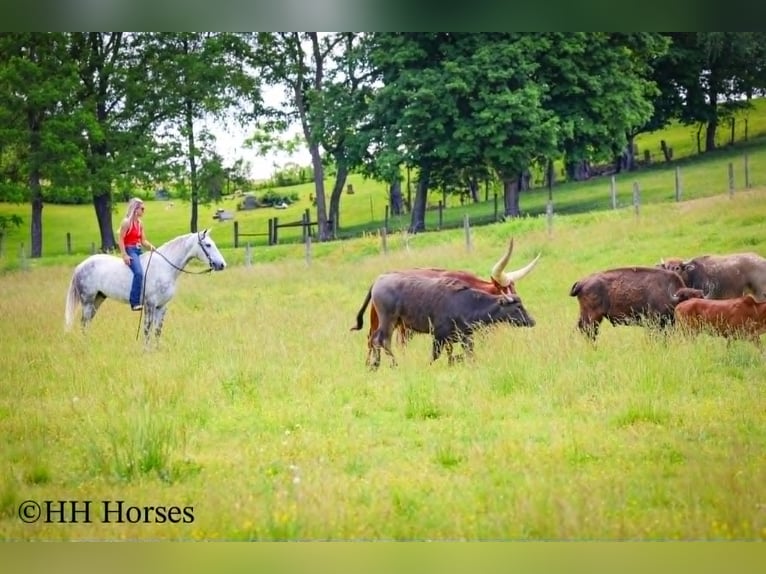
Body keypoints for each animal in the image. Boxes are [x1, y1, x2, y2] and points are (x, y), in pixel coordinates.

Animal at [65, 229, 227, 344]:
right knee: (83, 322)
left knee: (87, 322)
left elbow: (158, 330)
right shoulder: (150, 304)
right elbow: (147, 329)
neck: (164, 268)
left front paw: (156, 350)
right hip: (87, 301)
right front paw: (146, 351)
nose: (222, 265)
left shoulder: (162, 306)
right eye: (208, 245)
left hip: (98, 299)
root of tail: (81, 266)